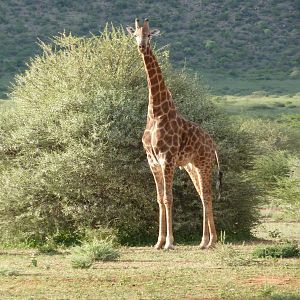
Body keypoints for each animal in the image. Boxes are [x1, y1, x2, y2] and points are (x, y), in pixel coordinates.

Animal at [125, 17, 221, 250]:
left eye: (149, 35)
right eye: (135, 35)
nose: (141, 46)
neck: (156, 112)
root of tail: (213, 145)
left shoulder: (166, 157)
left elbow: (169, 197)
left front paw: (169, 242)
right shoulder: (152, 160)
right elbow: (160, 198)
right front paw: (158, 242)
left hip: (204, 164)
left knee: (207, 196)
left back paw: (211, 241)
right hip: (191, 166)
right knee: (202, 195)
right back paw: (203, 241)